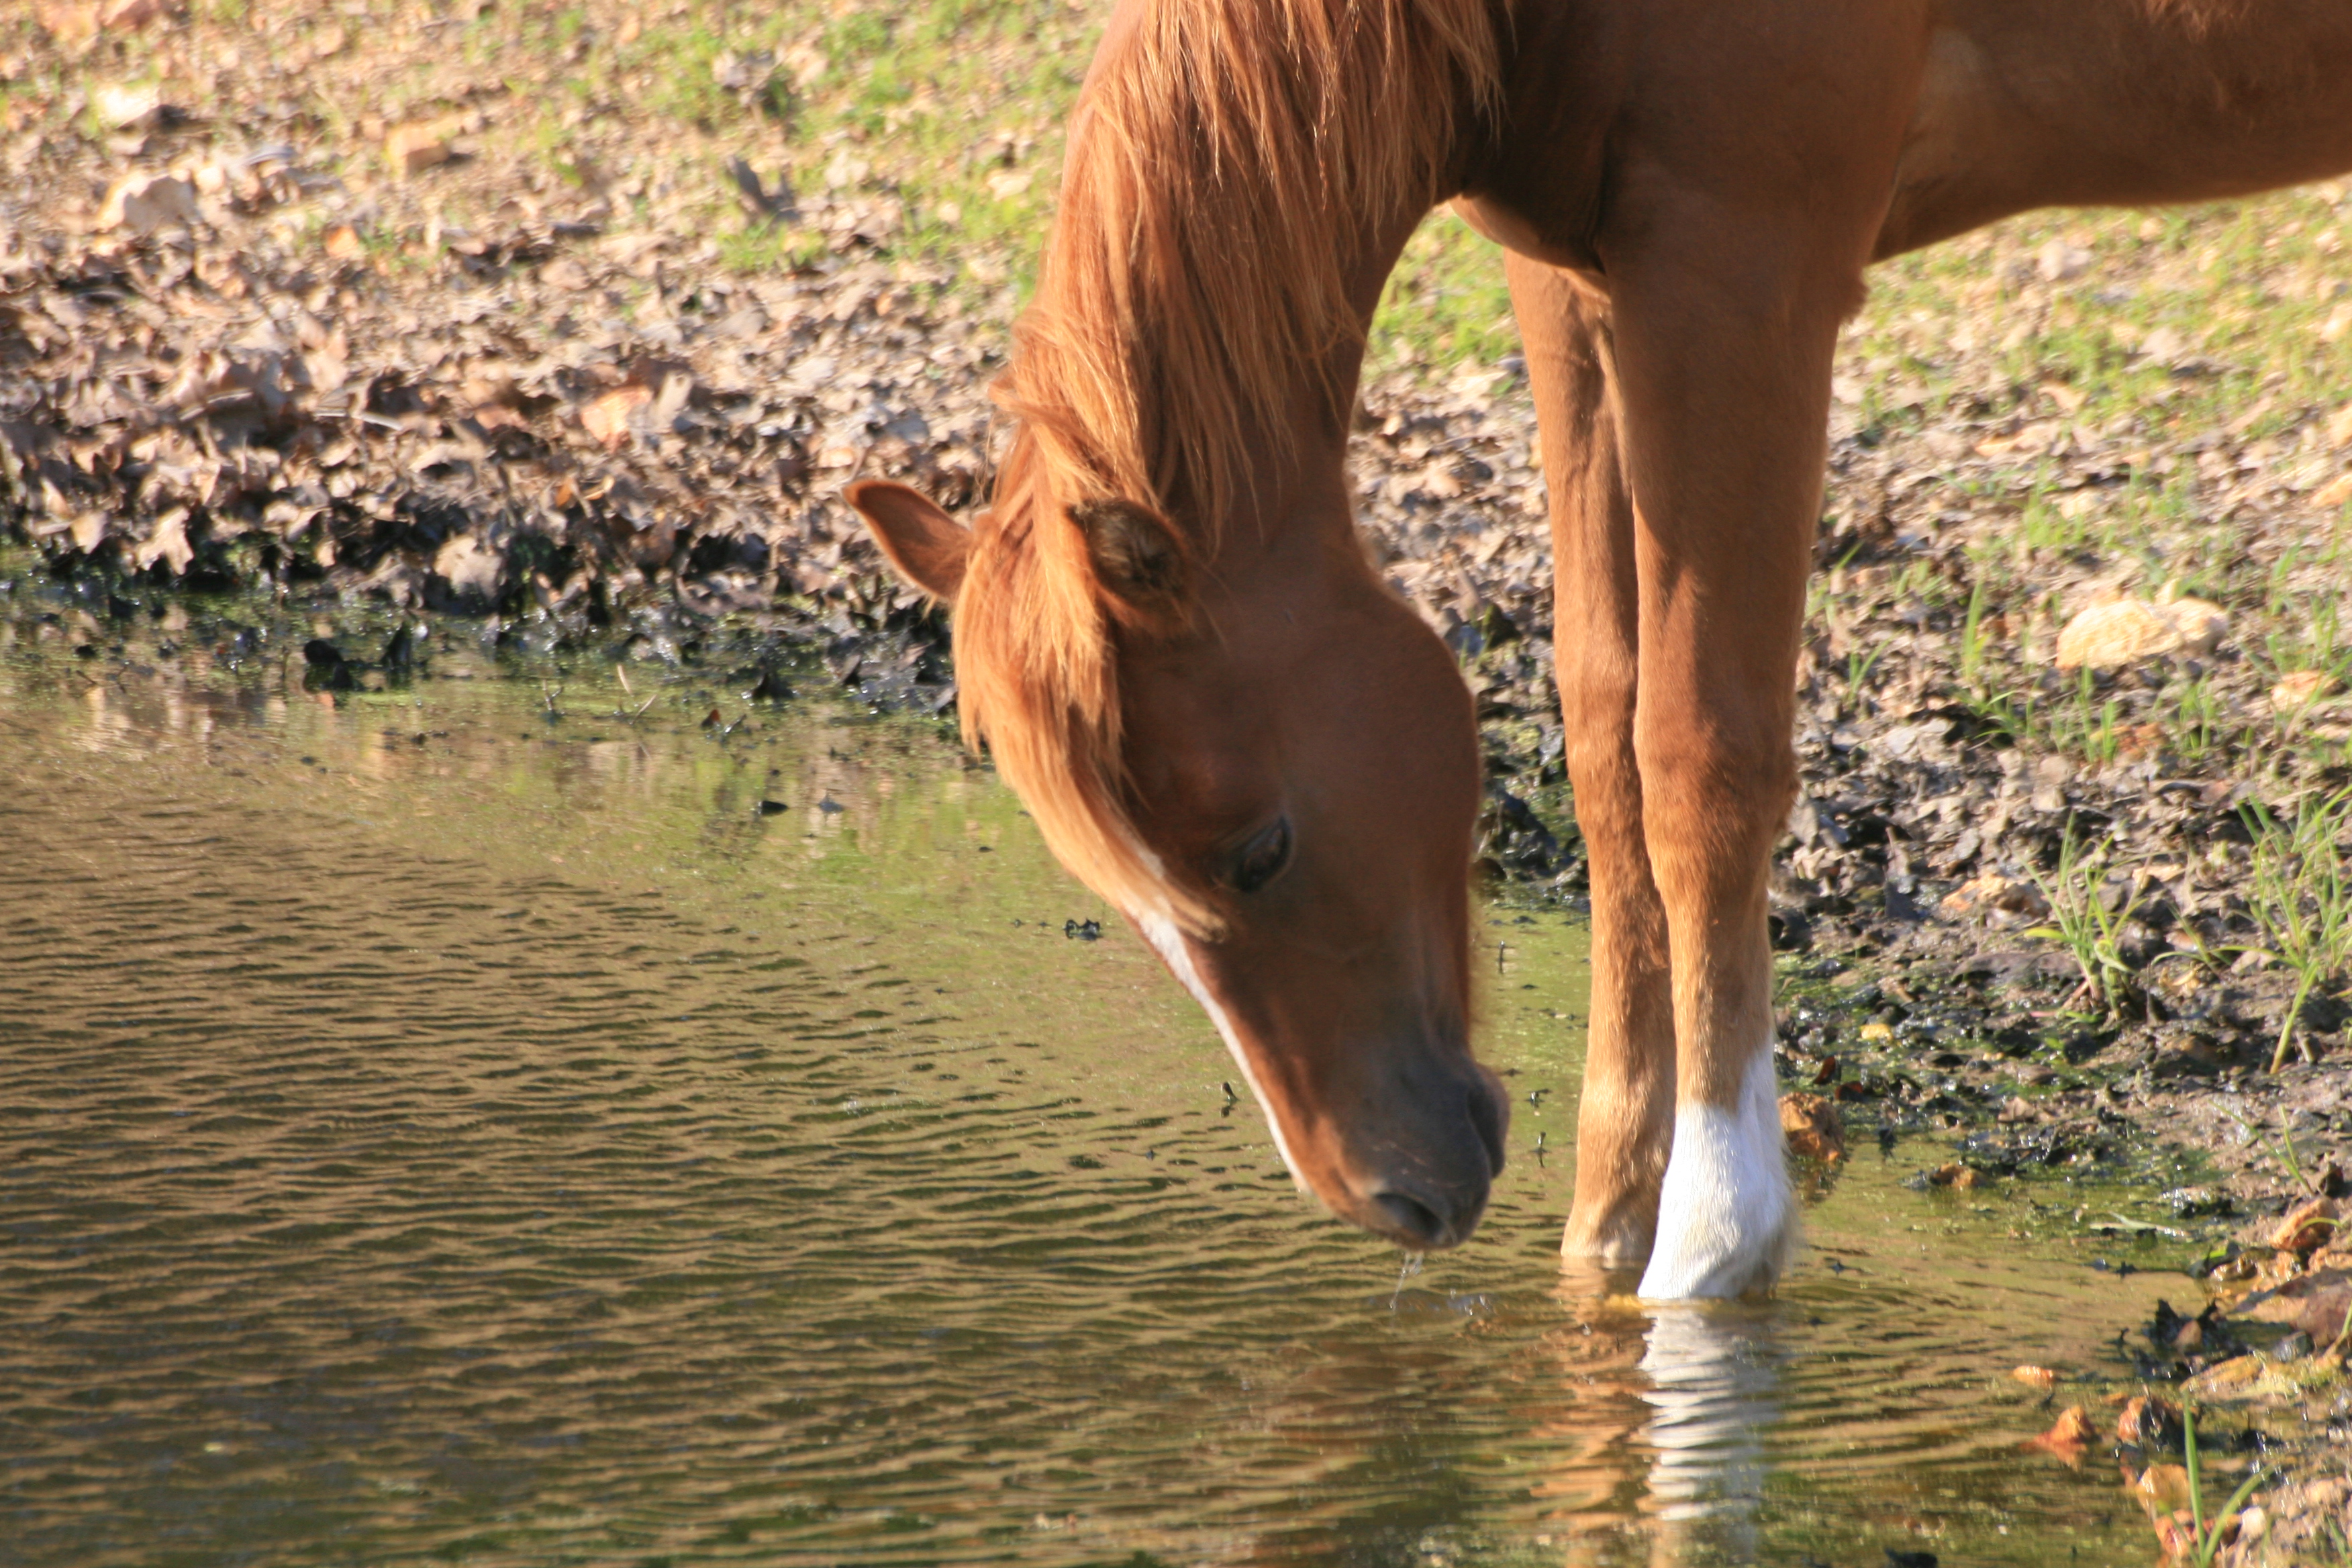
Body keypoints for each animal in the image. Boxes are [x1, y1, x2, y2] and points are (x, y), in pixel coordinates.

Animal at [842, 0, 2352, 1297]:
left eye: (1257, 850)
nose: (1391, 1197)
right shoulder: (1578, 281)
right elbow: (1605, 729)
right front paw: (1608, 1225)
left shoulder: (1740, 276)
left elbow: (1697, 755)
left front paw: (1710, 1243)